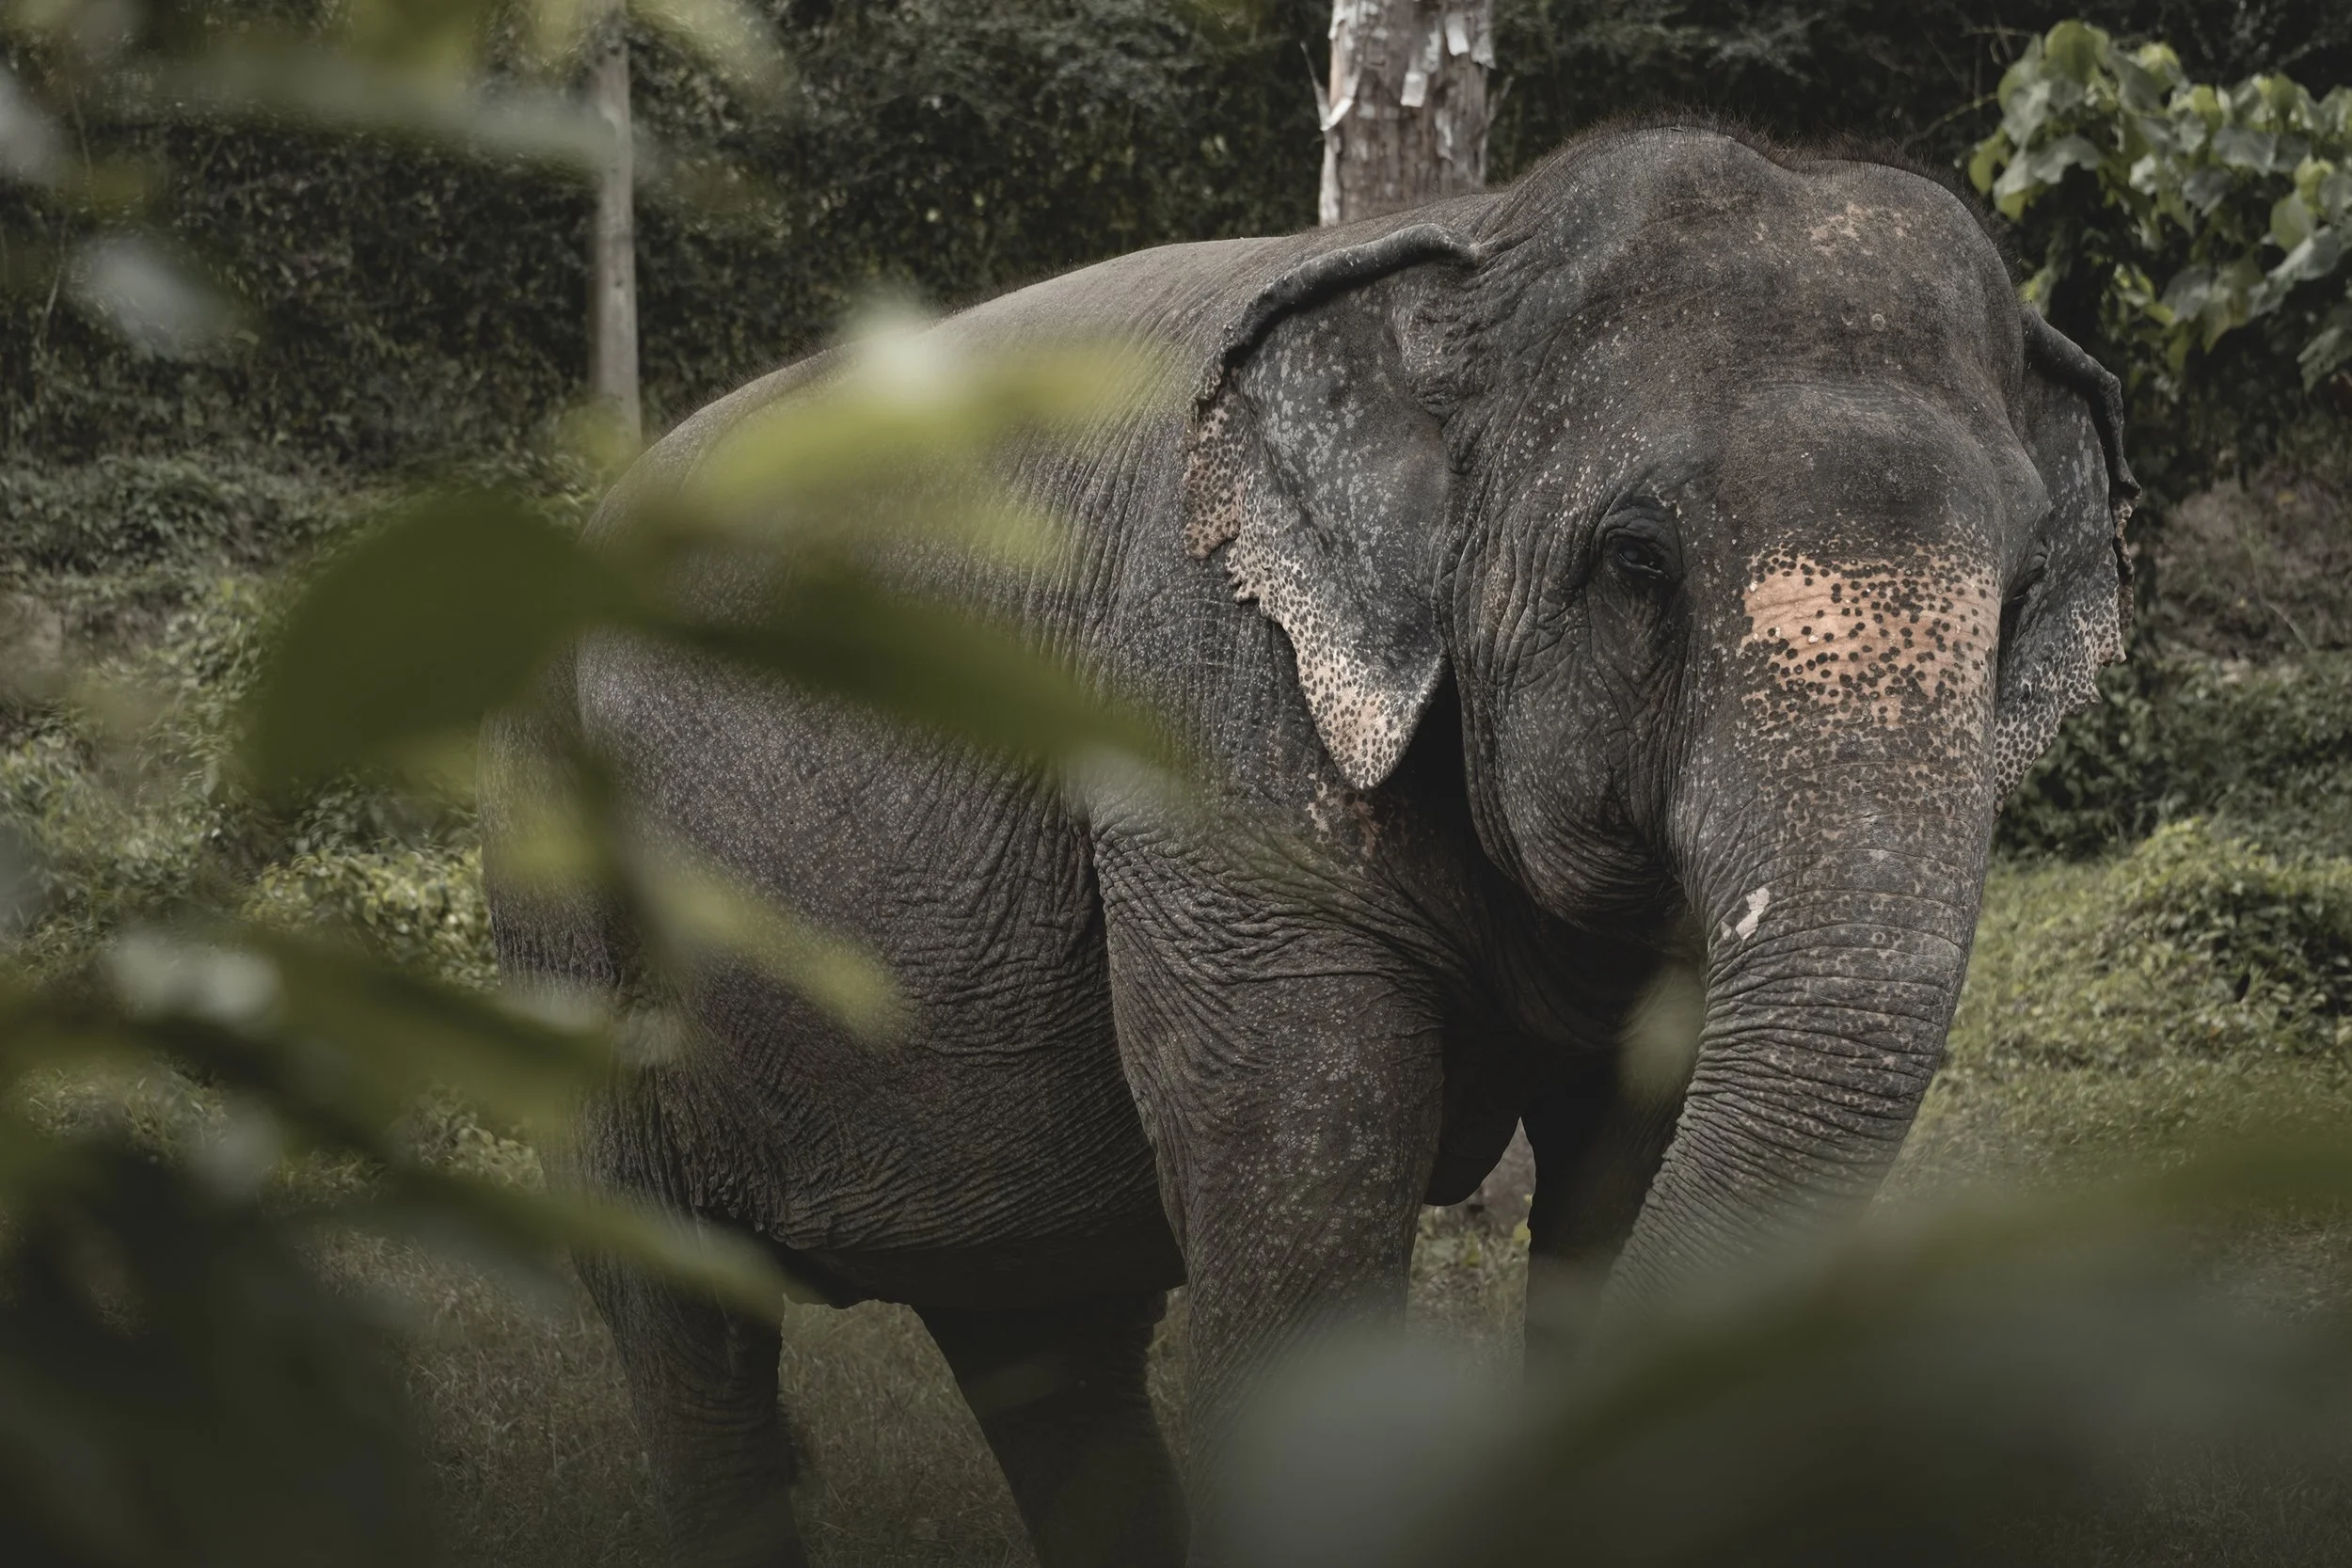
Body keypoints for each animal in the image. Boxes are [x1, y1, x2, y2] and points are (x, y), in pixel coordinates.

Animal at [481, 121, 2134, 1568]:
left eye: (2015, 593)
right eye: (1638, 560)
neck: (1479, 227)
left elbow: (1627, 1152)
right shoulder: (1206, 722)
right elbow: (1307, 1205)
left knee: (1045, 1341)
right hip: (563, 910)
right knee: (691, 1335)